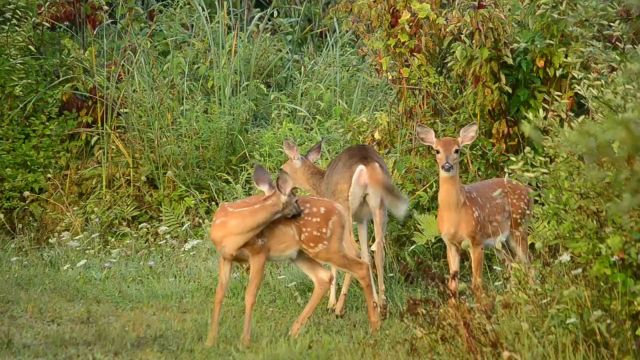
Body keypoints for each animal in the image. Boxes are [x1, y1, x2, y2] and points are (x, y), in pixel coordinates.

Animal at [206, 167, 380, 348]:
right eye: (295, 199)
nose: (299, 212)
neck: (230, 231)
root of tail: (340, 210)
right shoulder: (225, 257)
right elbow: (219, 295)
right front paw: (211, 340)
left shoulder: (259, 252)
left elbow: (250, 295)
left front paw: (245, 341)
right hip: (299, 254)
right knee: (324, 277)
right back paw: (293, 331)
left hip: (324, 247)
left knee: (360, 266)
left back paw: (375, 326)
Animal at [282, 139, 408, 314]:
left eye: (282, 169)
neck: (321, 185)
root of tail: (367, 164)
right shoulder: (362, 219)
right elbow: (366, 256)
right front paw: (374, 301)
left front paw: (331, 303)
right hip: (379, 207)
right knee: (377, 250)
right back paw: (382, 304)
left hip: (345, 206)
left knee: (353, 251)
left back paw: (339, 308)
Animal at [416, 124, 528, 298]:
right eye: (436, 150)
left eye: (457, 150)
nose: (447, 166)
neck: (455, 212)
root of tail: (528, 191)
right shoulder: (450, 243)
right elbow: (453, 285)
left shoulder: (476, 240)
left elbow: (477, 284)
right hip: (499, 241)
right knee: (513, 264)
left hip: (519, 226)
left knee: (528, 264)